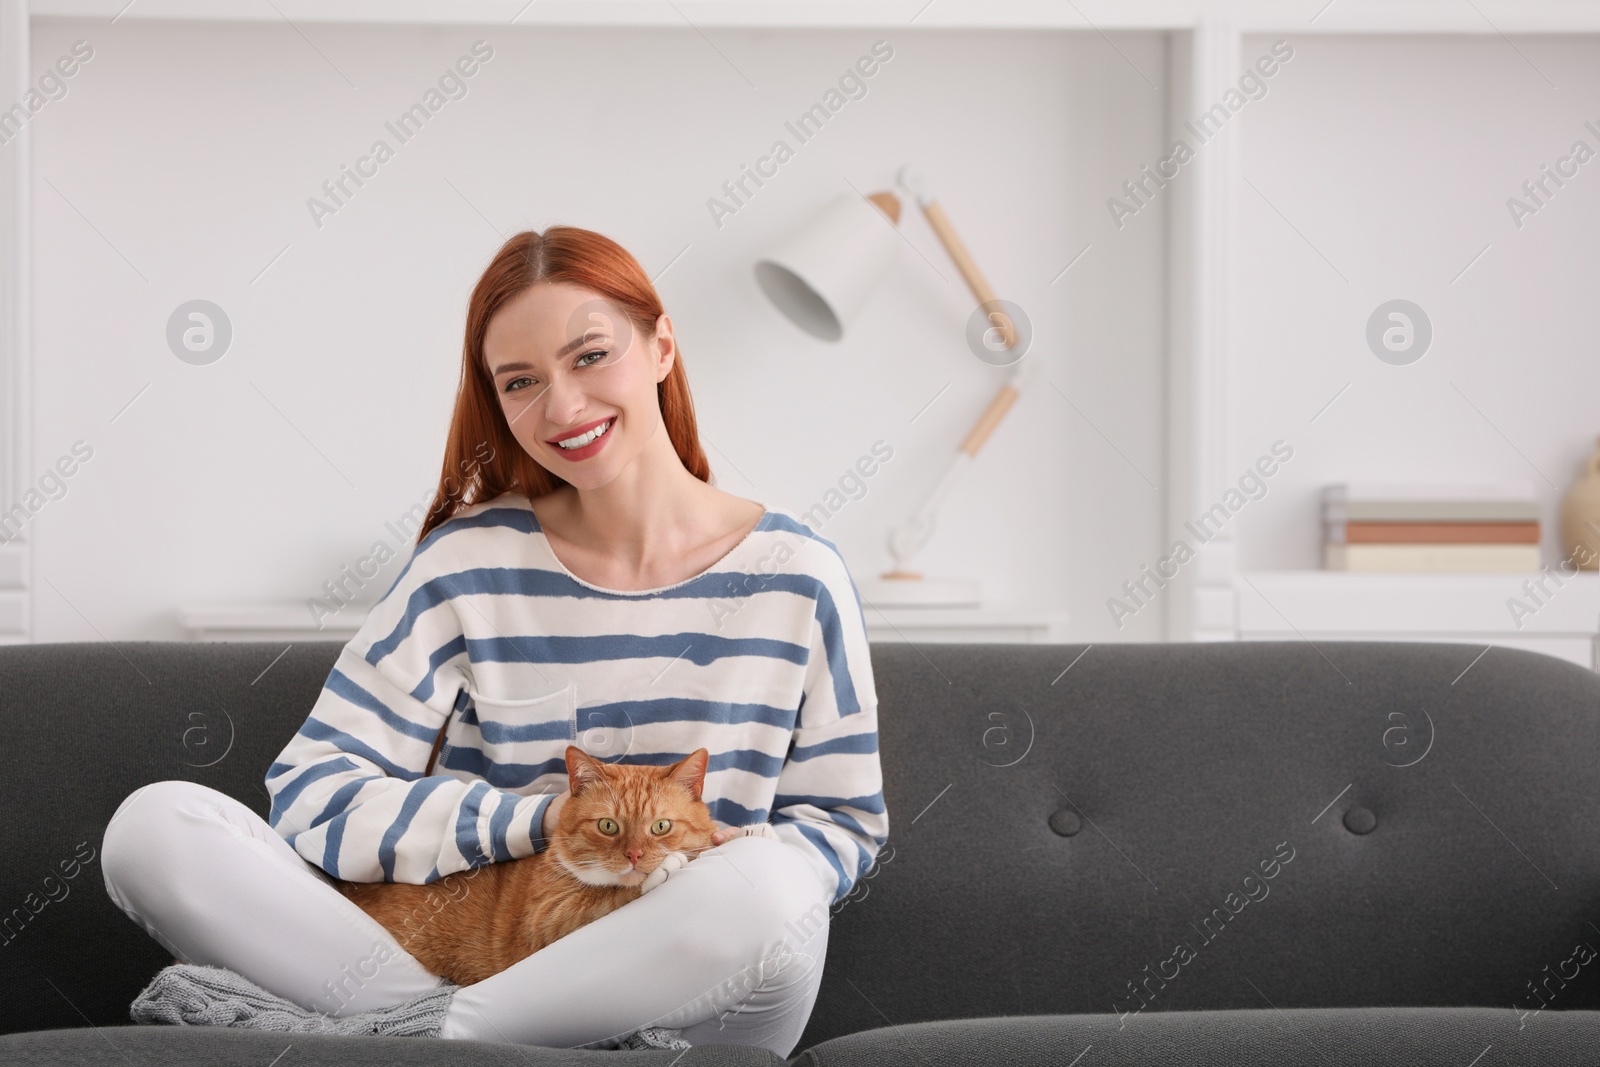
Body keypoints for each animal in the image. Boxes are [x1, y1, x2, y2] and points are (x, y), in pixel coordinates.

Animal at [331, 751, 713, 985]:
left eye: (661, 826)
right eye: (608, 826)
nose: (634, 855)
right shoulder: (543, 923)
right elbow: (603, 898)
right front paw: (661, 870)